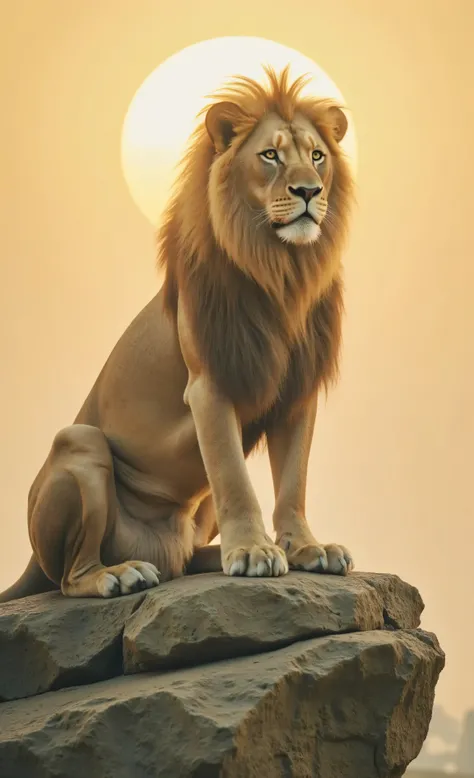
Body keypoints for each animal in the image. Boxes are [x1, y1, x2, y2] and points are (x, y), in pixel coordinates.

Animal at [0, 65, 355, 602]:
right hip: (79, 442)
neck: (282, 273)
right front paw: (252, 551)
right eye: (270, 156)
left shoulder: (298, 392)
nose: (310, 192)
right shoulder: (209, 386)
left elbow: (294, 481)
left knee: (183, 560)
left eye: (317, 156)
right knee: (69, 576)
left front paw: (304, 548)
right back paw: (120, 574)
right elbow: (234, 477)